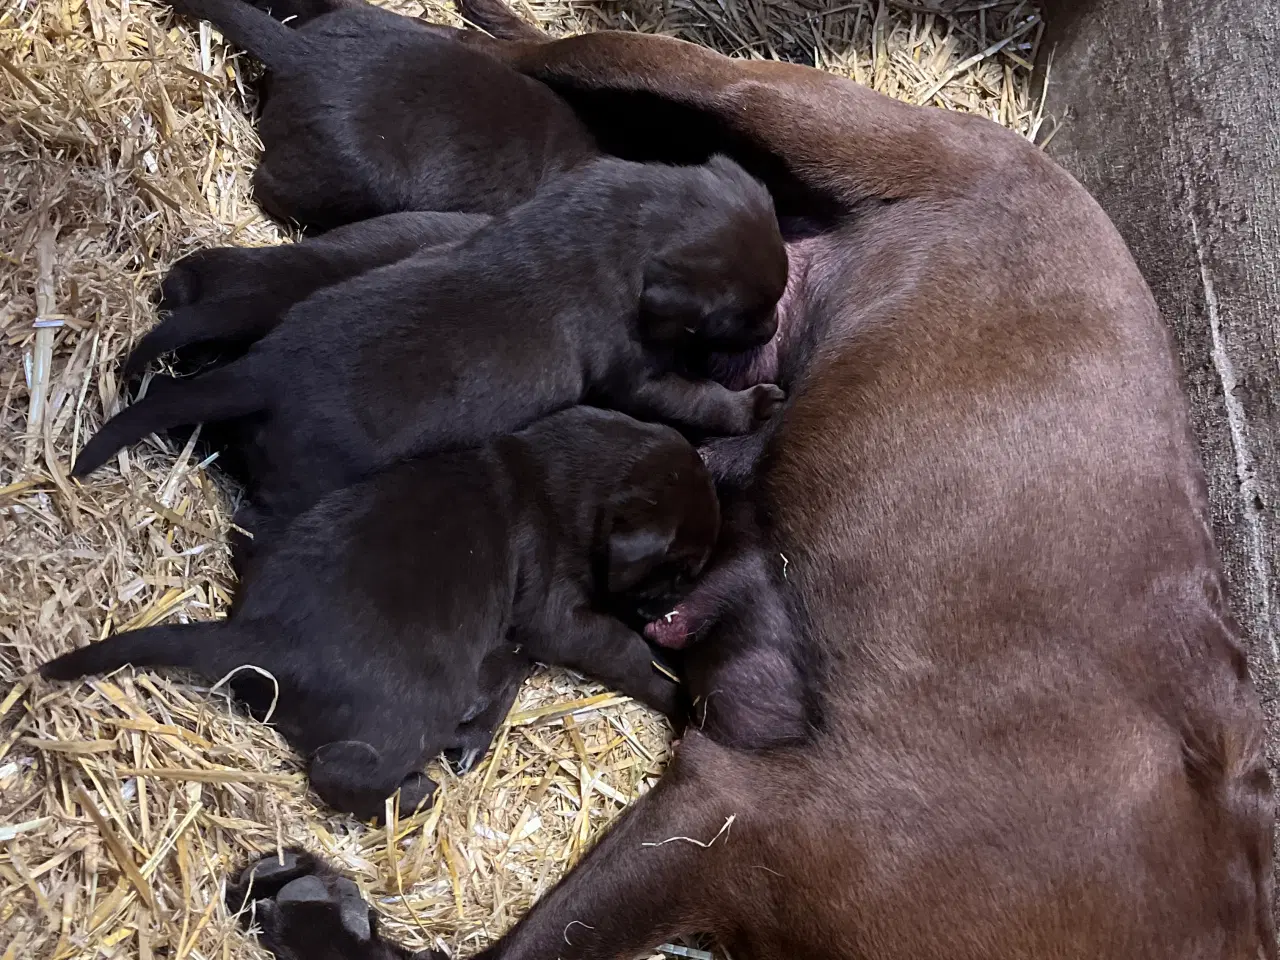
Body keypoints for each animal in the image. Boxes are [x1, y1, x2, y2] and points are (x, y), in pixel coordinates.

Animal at [42, 409, 721, 824]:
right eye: (679, 570)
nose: (668, 612)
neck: (564, 480)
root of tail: (257, 639)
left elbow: (515, 666)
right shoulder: (555, 612)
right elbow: (614, 650)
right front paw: (673, 689)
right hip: (423, 702)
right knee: (339, 773)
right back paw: (416, 791)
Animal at [72, 158, 788, 535]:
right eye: (747, 312)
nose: (774, 327)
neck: (633, 220)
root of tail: (267, 371)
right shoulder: (637, 374)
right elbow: (698, 397)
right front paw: (756, 403)